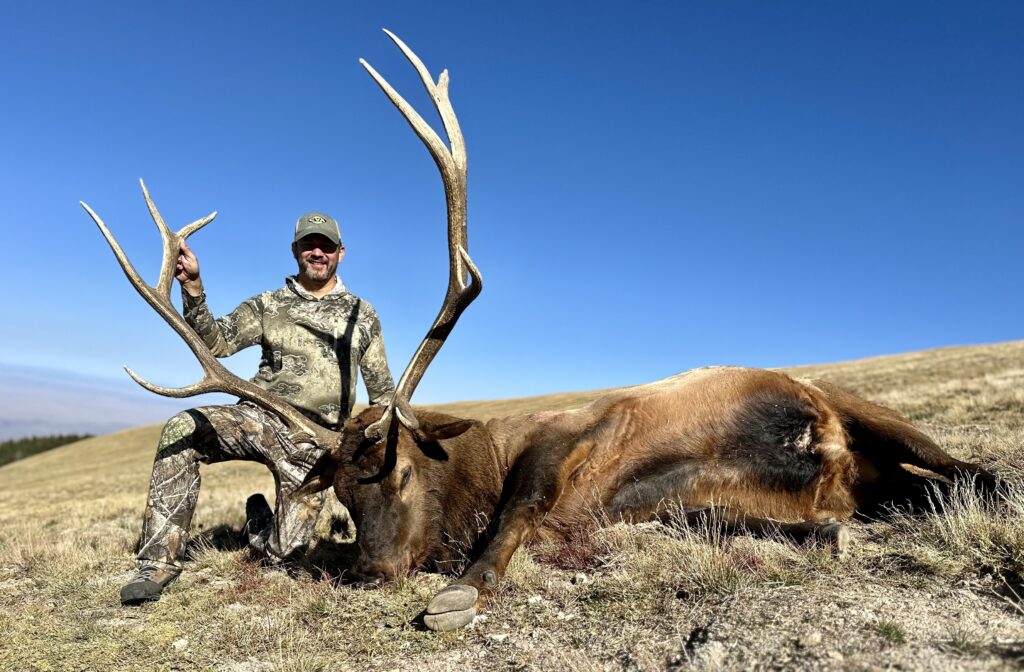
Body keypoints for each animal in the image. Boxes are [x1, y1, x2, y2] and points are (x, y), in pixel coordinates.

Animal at [83, 30, 995, 631]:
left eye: (400, 474)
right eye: (341, 494)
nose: (373, 573)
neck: (475, 466)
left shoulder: (569, 437)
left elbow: (519, 511)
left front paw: (460, 591)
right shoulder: (625, 508)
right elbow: (687, 516)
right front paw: (820, 531)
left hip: (869, 408)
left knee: (976, 472)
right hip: (872, 465)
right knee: (927, 487)